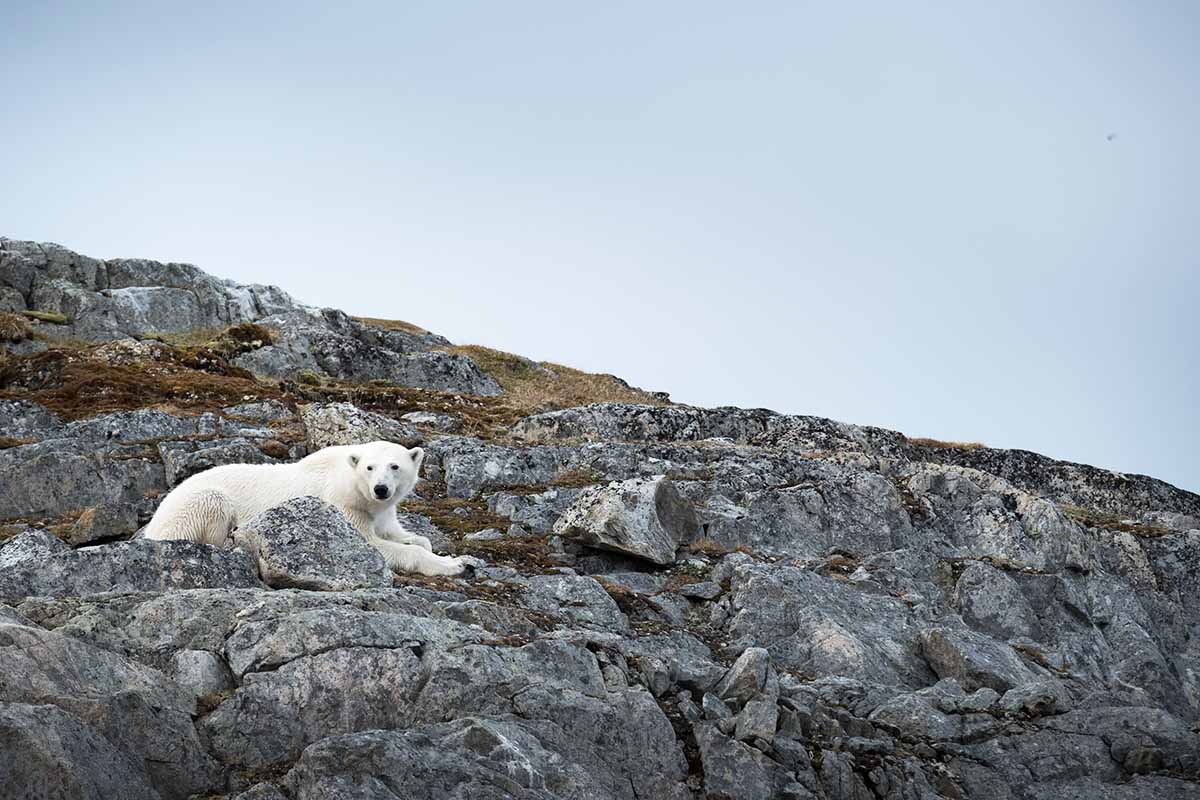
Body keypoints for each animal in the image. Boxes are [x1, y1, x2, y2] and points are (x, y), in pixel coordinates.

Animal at [142, 438, 470, 575]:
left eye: (395, 466)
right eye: (369, 467)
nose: (381, 489)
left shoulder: (380, 510)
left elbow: (398, 532)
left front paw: (426, 543)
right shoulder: (344, 506)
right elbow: (373, 544)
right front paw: (455, 564)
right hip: (196, 505)